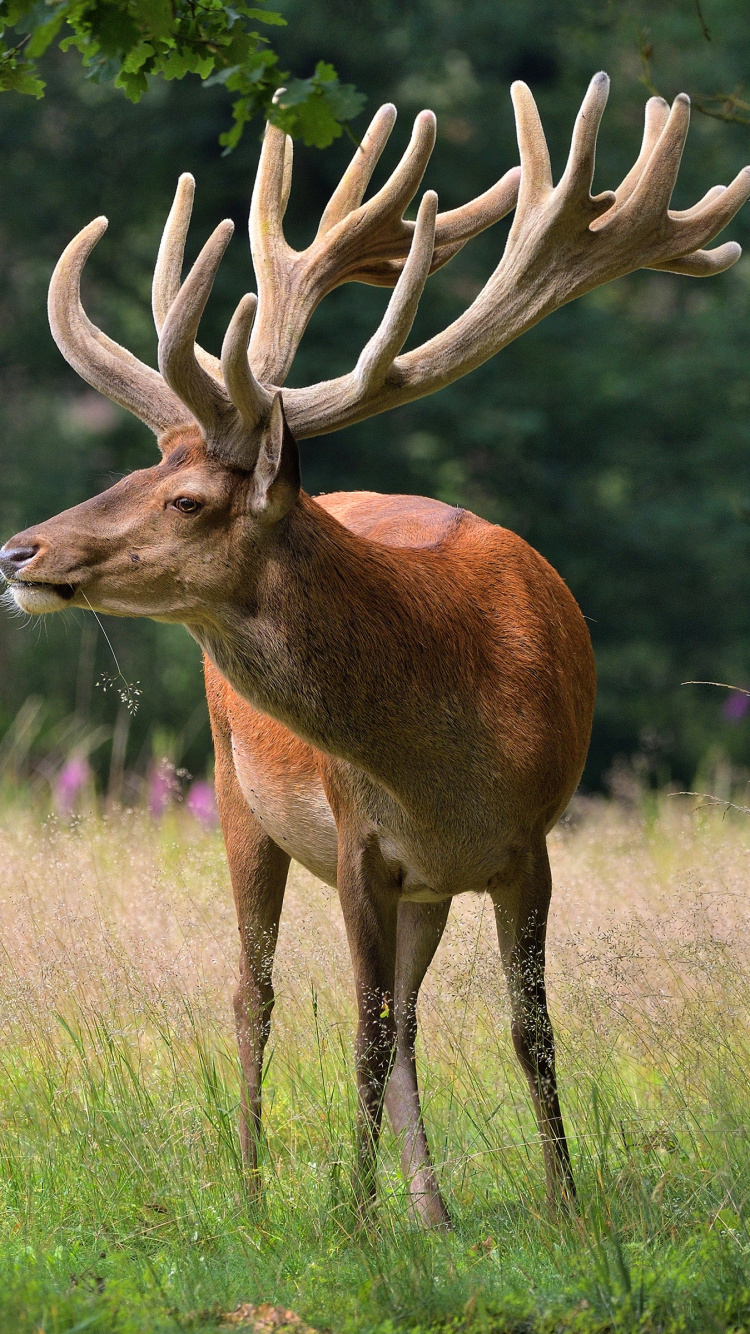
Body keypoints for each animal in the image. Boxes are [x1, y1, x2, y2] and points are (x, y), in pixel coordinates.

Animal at [1, 73, 748, 1227]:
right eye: (134, 468)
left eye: (183, 496)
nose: (20, 549)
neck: (446, 752)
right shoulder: (361, 840)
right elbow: (361, 1029)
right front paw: (351, 1223)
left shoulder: (527, 844)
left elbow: (526, 1031)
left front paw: (566, 1207)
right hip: (236, 789)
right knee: (255, 991)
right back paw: (258, 1189)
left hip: (419, 887)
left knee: (403, 1012)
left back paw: (429, 1208)